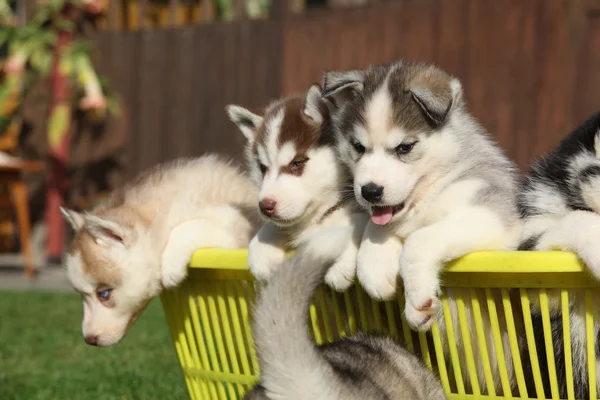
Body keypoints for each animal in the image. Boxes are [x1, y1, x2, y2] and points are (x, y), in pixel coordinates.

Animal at [59, 155, 260, 348]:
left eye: (104, 294)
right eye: (81, 294)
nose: (88, 340)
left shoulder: (235, 229)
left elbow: (188, 226)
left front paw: (170, 268)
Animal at [225, 84, 368, 290]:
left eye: (297, 163)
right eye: (262, 168)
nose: (265, 206)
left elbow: (355, 223)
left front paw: (340, 260)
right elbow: (273, 226)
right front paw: (262, 249)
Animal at [322, 61, 524, 394]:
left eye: (405, 147)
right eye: (358, 147)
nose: (370, 191)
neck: (426, 197)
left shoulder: (493, 211)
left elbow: (418, 241)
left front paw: (417, 301)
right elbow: (376, 228)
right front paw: (375, 270)